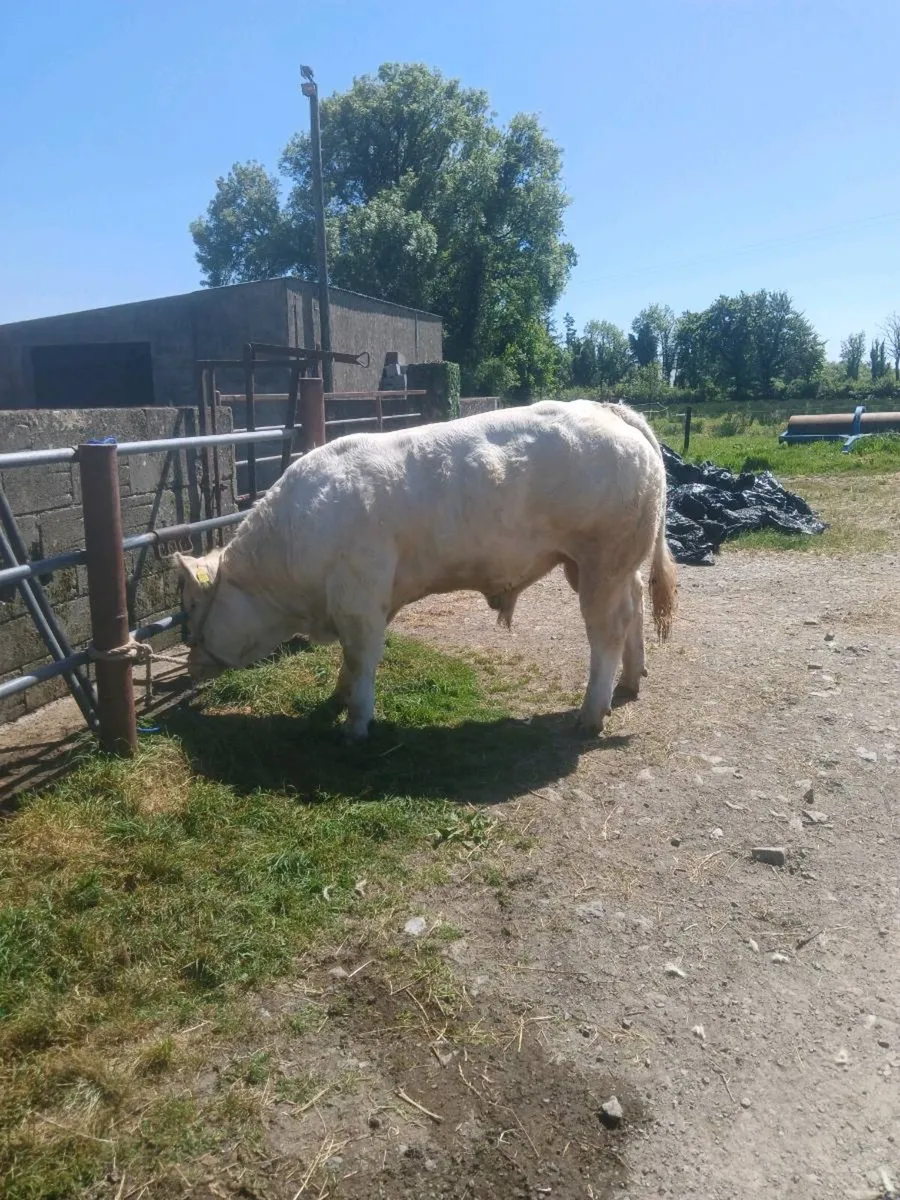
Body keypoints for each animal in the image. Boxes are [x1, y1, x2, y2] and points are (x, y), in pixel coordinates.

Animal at [174, 399, 677, 741]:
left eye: (194, 606)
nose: (190, 663)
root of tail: (609, 409)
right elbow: (349, 663)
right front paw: (337, 698)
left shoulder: (360, 599)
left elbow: (362, 659)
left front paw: (355, 727)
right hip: (605, 565)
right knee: (634, 609)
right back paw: (631, 681)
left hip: (602, 561)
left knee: (608, 630)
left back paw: (590, 715)